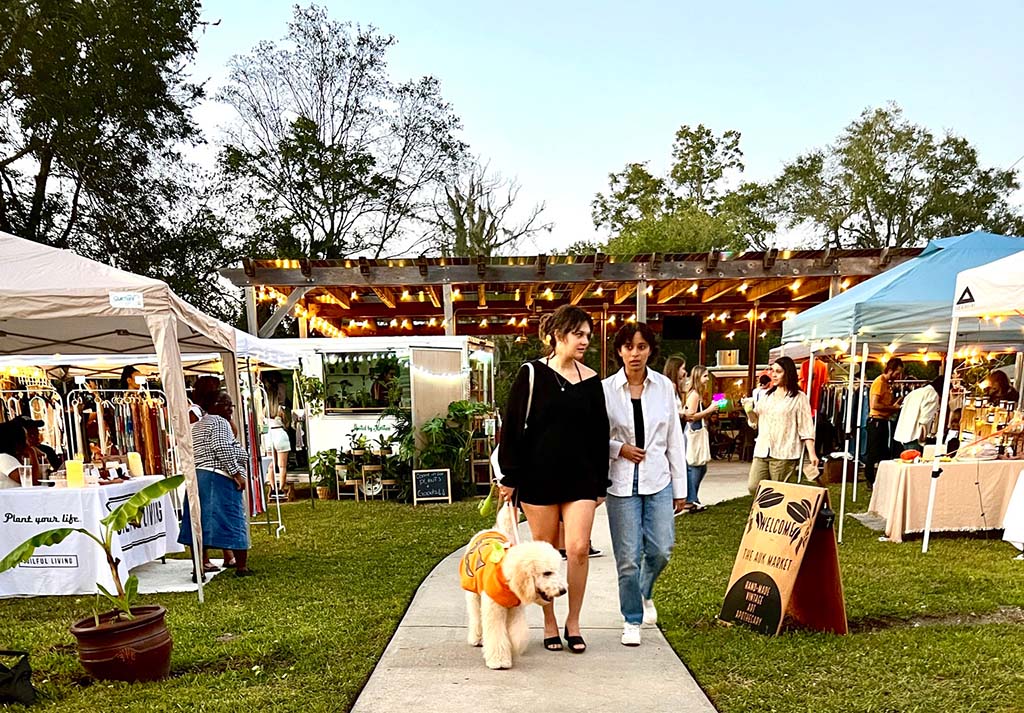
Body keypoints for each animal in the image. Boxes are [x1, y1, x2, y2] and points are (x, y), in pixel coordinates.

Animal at [462, 501, 569, 667]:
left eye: (556, 570)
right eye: (547, 573)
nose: (563, 590)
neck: (506, 578)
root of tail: (491, 530)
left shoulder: (516, 609)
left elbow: (518, 632)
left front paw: (513, 649)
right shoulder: (494, 609)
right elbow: (496, 634)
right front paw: (499, 661)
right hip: (473, 593)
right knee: (476, 616)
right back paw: (477, 638)